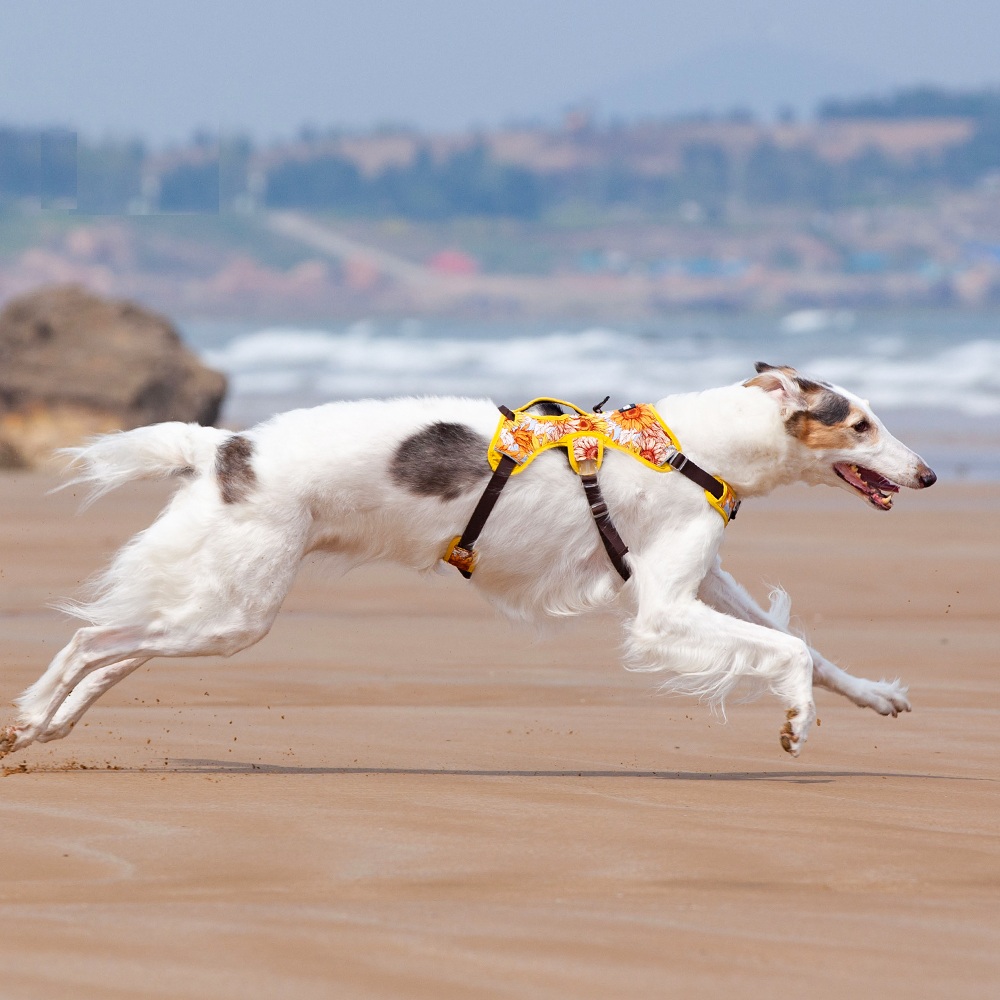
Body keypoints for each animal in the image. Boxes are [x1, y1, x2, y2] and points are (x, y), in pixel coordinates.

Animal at [0, 364, 936, 760]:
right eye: (861, 425)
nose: (927, 473)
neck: (695, 447)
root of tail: (225, 444)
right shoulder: (664, 609)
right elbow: (788, 652)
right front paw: (797, 720)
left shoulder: (701, 579)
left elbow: (811, 646)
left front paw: (878, 695)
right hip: (235, 612)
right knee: (89, 642)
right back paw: (36, 712)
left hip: (218, 605)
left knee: (113, 651)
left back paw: (45, 727)